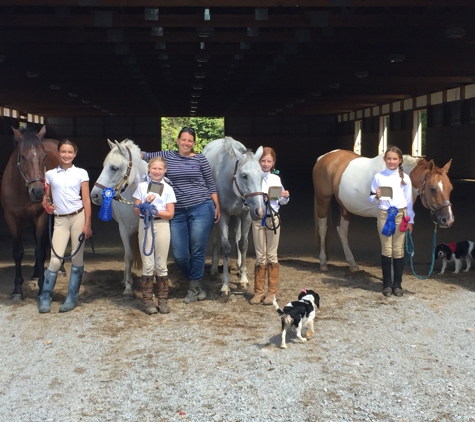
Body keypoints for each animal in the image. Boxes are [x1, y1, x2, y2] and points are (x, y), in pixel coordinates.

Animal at [0, 125, 60, 300]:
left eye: (44, 156)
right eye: (23, 157)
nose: (38, 191)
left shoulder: (42, 216)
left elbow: (39, 251)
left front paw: (41, 289)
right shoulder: (11, 217)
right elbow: (18, 252)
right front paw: (17, 289)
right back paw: (35, 272)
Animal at [90, 138, 146, 296]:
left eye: (114, 168)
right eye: (103, 166)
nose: (94, 195)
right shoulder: (124, 230)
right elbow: (128, 256)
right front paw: (128, 287)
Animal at [202, 137, 266, 296]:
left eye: (262, 176)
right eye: (244, 176)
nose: (260, 211)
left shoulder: (246, 215)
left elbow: (243, 244)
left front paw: (243, 278)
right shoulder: (223, 215)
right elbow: (225, 247)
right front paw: (225, 285)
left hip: (237, 216)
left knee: (237, 236)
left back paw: (238, 263)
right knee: (215, 240)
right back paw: (213, 267)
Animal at [314, 150, 456, 272]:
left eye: (450, 188)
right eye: (432, 188)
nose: (448, 219)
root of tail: (323, 157)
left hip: (345, 205)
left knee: (342, 230)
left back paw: (352, 264)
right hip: (323, 200)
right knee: (322, 228)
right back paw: (323, 263)